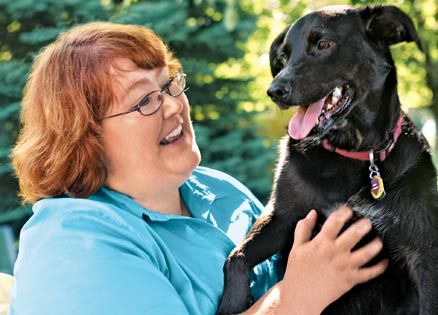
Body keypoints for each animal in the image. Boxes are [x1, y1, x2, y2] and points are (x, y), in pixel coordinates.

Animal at [218, 5, 438, 315]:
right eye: (282, 58)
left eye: (324, 44)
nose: (274, 91)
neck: (354, 151)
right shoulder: (281, 217)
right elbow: (236, 256)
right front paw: (232, 303)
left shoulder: (423, 250)